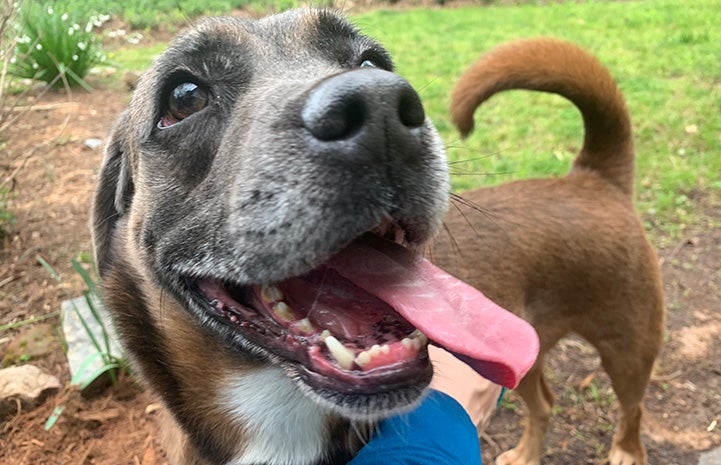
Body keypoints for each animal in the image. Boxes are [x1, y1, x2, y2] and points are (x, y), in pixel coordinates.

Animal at [428, 38, 664, 462]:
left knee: (633, 408)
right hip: (527, 362)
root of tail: (594, 179)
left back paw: (626, 451)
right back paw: (526, 454)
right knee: (545, 404)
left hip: (628, 352)